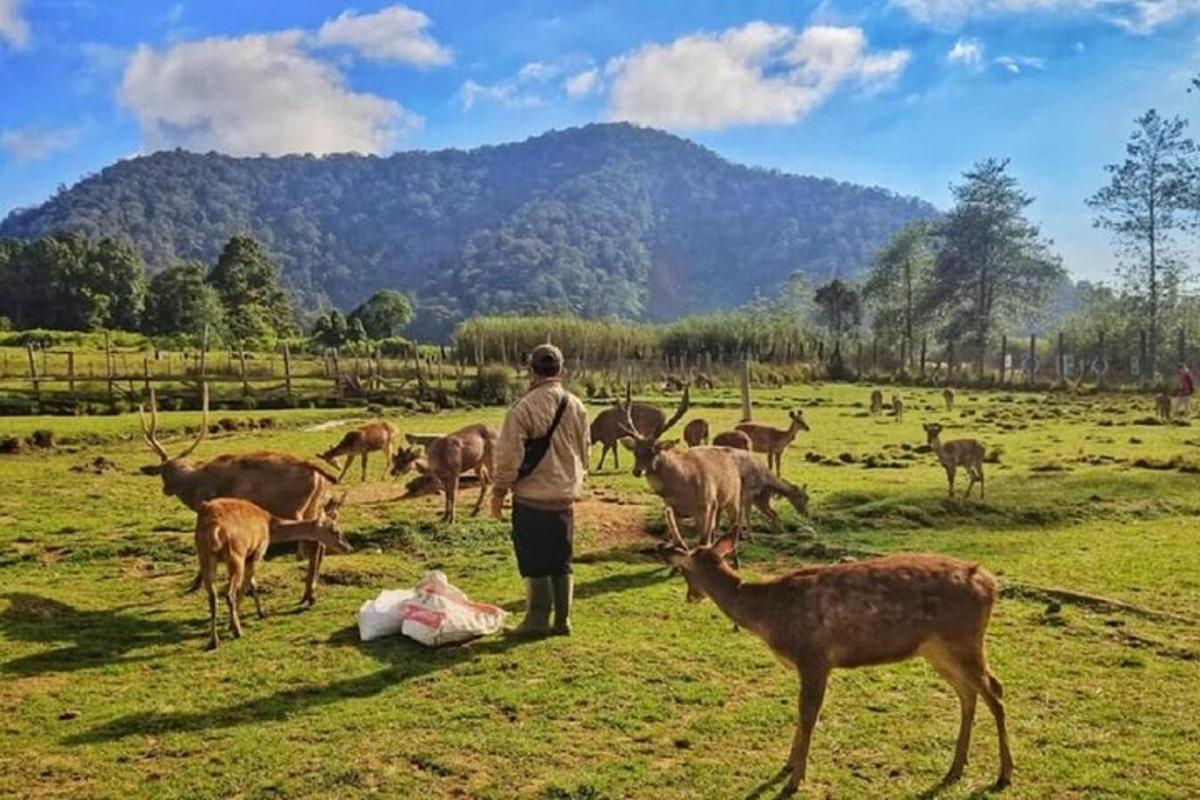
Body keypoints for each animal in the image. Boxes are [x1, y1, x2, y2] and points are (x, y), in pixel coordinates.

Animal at [142, 388, 345, 606]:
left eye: (163, 472)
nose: (165, 490)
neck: (194, 487)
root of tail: (319, 471)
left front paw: (195, 583)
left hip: (294, 510)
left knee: (313, 544)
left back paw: (308, 595)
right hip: (314, 507)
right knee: (320, 543)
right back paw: (310, 594)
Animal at [657, 537, 1012, 796]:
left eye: (686, 567)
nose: (691, 596)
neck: (767, 615)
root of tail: (991, 584)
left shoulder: (814, 656)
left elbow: (807, 713)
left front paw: (794, 779)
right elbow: (802, 713)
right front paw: (788, 765)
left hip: (963, 640)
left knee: (995, 691)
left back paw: (1003, 774)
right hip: (938, 650)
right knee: (970, 693)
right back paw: (955, 769)